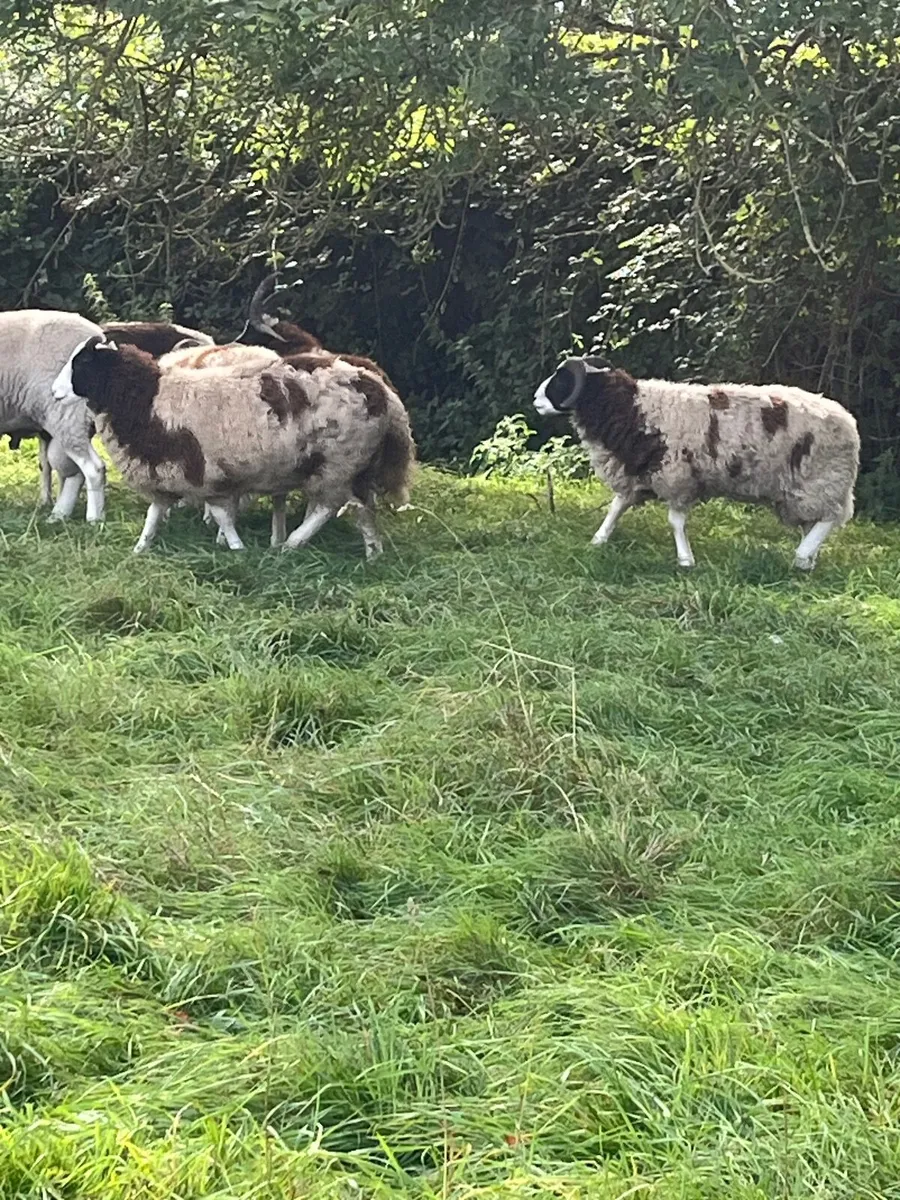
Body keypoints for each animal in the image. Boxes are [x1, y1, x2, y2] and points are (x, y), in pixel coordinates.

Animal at [51, 334, 416, 557]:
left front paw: (236, 548)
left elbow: (222, 516)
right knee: (363, 509)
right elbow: (155, 515)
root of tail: (380, 390)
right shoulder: (167, 470)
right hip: (353, 465)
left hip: (337, 462)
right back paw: (372, 554)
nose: (54, 392)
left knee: (330, 506)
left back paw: (291, 544)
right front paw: (140, 548)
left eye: (82, 363)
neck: (148, 399)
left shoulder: (204, 474)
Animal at [533, 357, 860, 571]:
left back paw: (802, 557)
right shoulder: (638, 473)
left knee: (829, 518)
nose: (535, 399)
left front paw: (685, 559)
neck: (632, 408)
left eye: (561, 379)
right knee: (815, 522)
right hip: (806, 490)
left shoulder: (677, 477)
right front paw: (598, 539)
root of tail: (849, 423)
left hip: (821, 480)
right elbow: (616, 507)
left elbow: (675, 521)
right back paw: (809, 558)